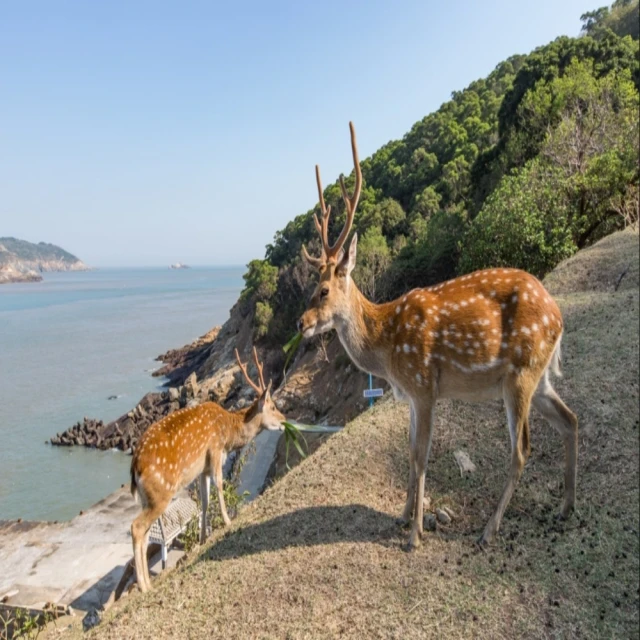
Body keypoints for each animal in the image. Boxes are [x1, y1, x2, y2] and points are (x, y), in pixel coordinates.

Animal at [130, 348, 284, 592]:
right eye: (273, 407)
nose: (285, 420)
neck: (229, 433)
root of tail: (135, 466)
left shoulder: (202, 469)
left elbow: (204, 500)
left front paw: (203, 539)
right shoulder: (215, 451)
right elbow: (220, 486)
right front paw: (228, 521)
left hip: (148, 499)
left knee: (144, 536)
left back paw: (148, 583)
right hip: (160, 494)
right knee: (136, 528)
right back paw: (145, 587)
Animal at [298, 121, 576, 552]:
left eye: (323, 290)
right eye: (312, 288)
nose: (301, 323)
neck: (387, 348)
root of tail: (557, 316)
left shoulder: (424, 384)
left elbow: (421, 455)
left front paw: (414, 534)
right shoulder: (411, 395)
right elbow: (411, 452)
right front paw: (401, 516)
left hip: (520, 374)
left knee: (521, 449)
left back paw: (489, 529)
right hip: (540, 376)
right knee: (571, 420)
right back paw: (566, 507)